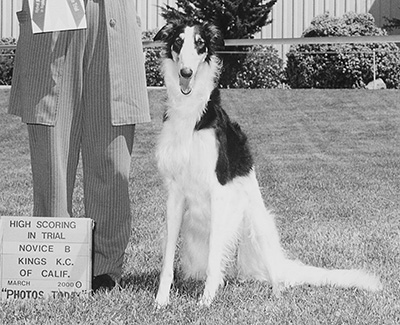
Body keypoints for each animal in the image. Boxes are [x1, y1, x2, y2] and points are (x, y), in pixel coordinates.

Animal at [152, 20, 382, 306]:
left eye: (200, 44)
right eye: (177, 42)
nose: (186, 72)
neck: (191, 114)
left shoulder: (218, 191)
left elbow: (215, 257)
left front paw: (205, 301)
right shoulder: (174, 193)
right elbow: (167, 260)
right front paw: (161, 301)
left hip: (258, 225)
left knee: (276, 278)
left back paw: (275, 295)